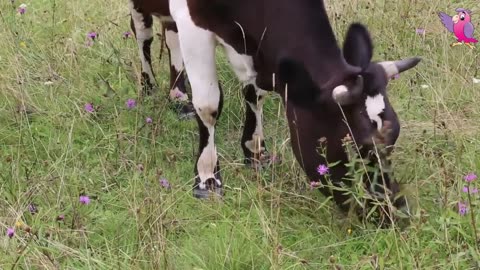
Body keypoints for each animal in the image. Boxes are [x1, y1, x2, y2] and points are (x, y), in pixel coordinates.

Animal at [130, 0, 420, 223]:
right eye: (356, 146)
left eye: (394, 137)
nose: (395, 214)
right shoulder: (192, 23)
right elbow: (209, 105)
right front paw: (207, 178)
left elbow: (253, 93)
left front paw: (256, 153)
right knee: (143, 32)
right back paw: (148, 84)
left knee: (169, 34)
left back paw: (178, 96)